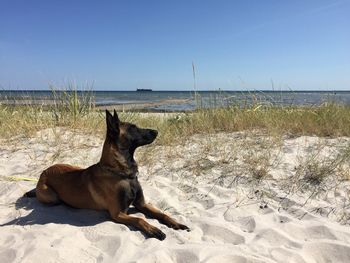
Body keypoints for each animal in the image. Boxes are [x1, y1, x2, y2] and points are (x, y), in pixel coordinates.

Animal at [25, 109, 189, 241]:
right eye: (133, 128)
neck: (122, 173)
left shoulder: (141, 204)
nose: (156, 131)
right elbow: (139, 220)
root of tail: (44, 172)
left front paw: (176, 223)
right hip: (51, 196)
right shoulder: (117, 213)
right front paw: (154, 229)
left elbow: (162, 214)